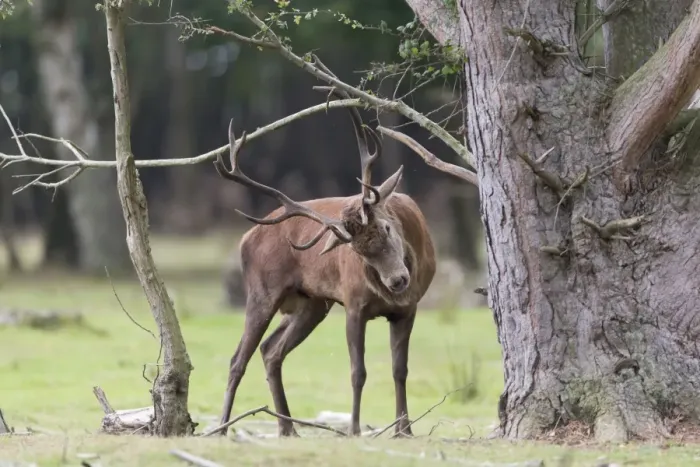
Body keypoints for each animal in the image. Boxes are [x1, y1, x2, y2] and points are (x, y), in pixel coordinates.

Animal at [214, 102, 436, 438]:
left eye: (386, 228)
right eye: (357, 251)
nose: (398, 280)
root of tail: (245, 238)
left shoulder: (407, 309)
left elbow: (400, 370)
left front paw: (405, 430)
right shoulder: (354, 304)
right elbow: (358, 371)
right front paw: (354, 429)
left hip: (313, 303)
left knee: (271, 350)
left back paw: (288, 428)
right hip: (262, 291)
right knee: (237, 359)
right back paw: (223, 427)